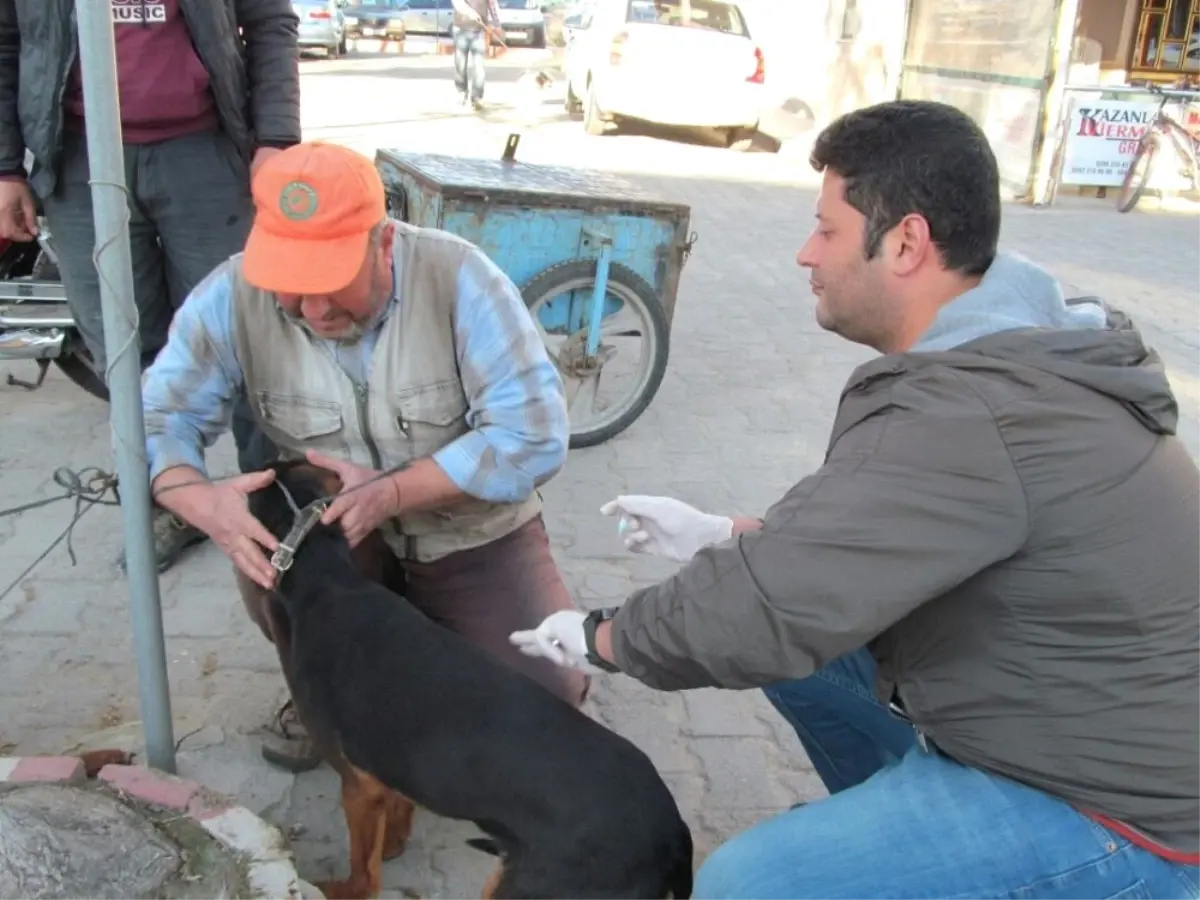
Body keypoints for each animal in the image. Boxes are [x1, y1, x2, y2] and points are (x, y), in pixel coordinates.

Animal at [237, 465, 691, 900]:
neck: (327, 579)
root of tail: (673, 834)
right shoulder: (394, 765)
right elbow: (399, 809)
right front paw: (395, 841)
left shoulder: (358, 786)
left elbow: (364, 876)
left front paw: (341, 887)